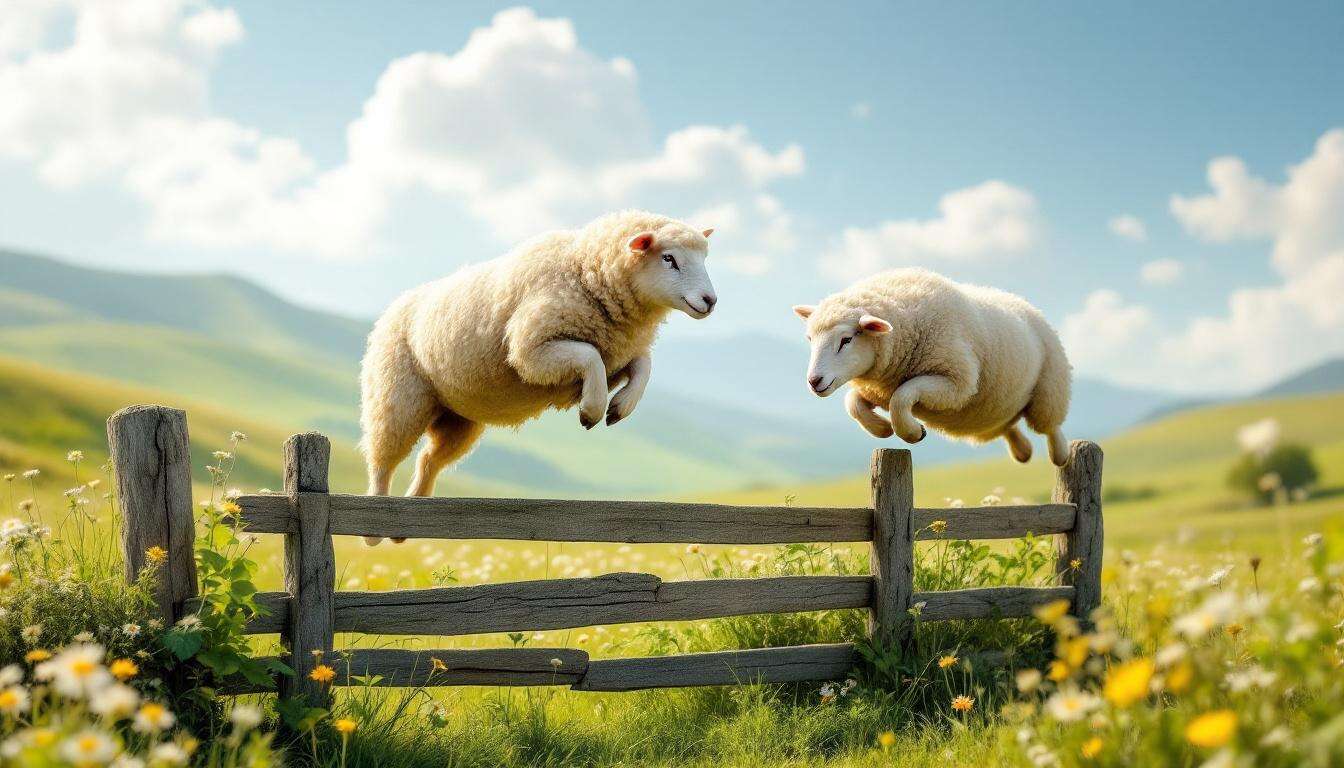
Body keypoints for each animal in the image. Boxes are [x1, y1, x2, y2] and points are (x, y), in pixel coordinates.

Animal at [359, 210, 717, 541]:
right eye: (669, 258)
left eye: (703, 258)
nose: (710, 301)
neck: (584, 270)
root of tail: (394, 307)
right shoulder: (531, 350)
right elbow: (589, 356)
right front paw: (592, 409)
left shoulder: (618, 353)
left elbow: (643, 366)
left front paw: (620, 407)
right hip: (396, 396)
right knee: (382, 460)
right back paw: (375, 528)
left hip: (458, 417)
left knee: (428, 460)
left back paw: (409, 518)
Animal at [792, 268, 1072, 466]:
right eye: (810, 339)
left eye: (846, 340)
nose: (814, 381)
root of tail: (1020, 300)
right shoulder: (876, 390)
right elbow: (852, 404)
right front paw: (882, 429)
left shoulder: (956, 384)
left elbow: (901, 396)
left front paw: (912, 432)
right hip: (999, 408)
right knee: (1008, 426)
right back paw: (1023, 451)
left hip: (1050, 386)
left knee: (1050, 426)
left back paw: (1060, 454)